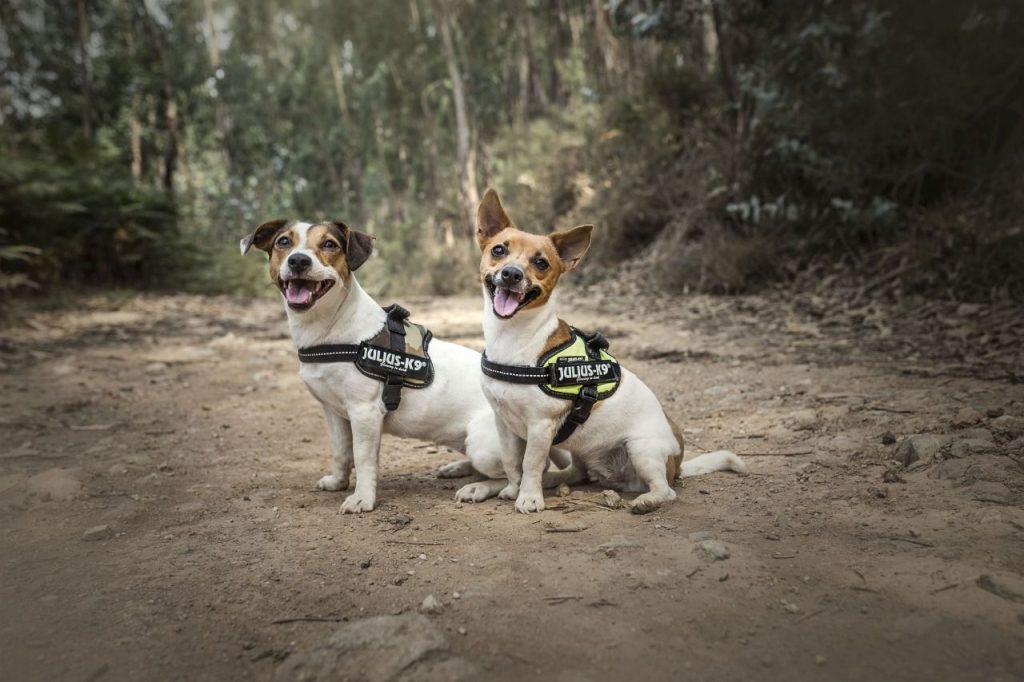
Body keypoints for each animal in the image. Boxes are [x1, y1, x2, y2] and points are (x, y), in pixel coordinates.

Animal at [239, 220, 552, 512]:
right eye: (283, 242)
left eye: (329, 245)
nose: (298, 261)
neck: (330, 326)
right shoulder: (333, 412)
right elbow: (340, 452)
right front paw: (338, 482)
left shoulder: (364, 413)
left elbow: (363, 459)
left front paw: (362, 498)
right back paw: (459, 468)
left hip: (484, 442)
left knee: (519, 474)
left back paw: (479, 487)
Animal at [471, 188, 745, 512]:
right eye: (499, 250)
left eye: (541, 263)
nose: (511, 274)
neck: (515, 337)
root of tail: (677, 462)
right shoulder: (505, 425)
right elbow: (513, 463)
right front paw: (514, 490)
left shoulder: (540, 426)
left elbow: (531, 464)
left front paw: (529, 497)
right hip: (581, 447)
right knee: (578, 472)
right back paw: (554, 479)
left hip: (641, 449)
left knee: (666, 490)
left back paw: (647, 500)